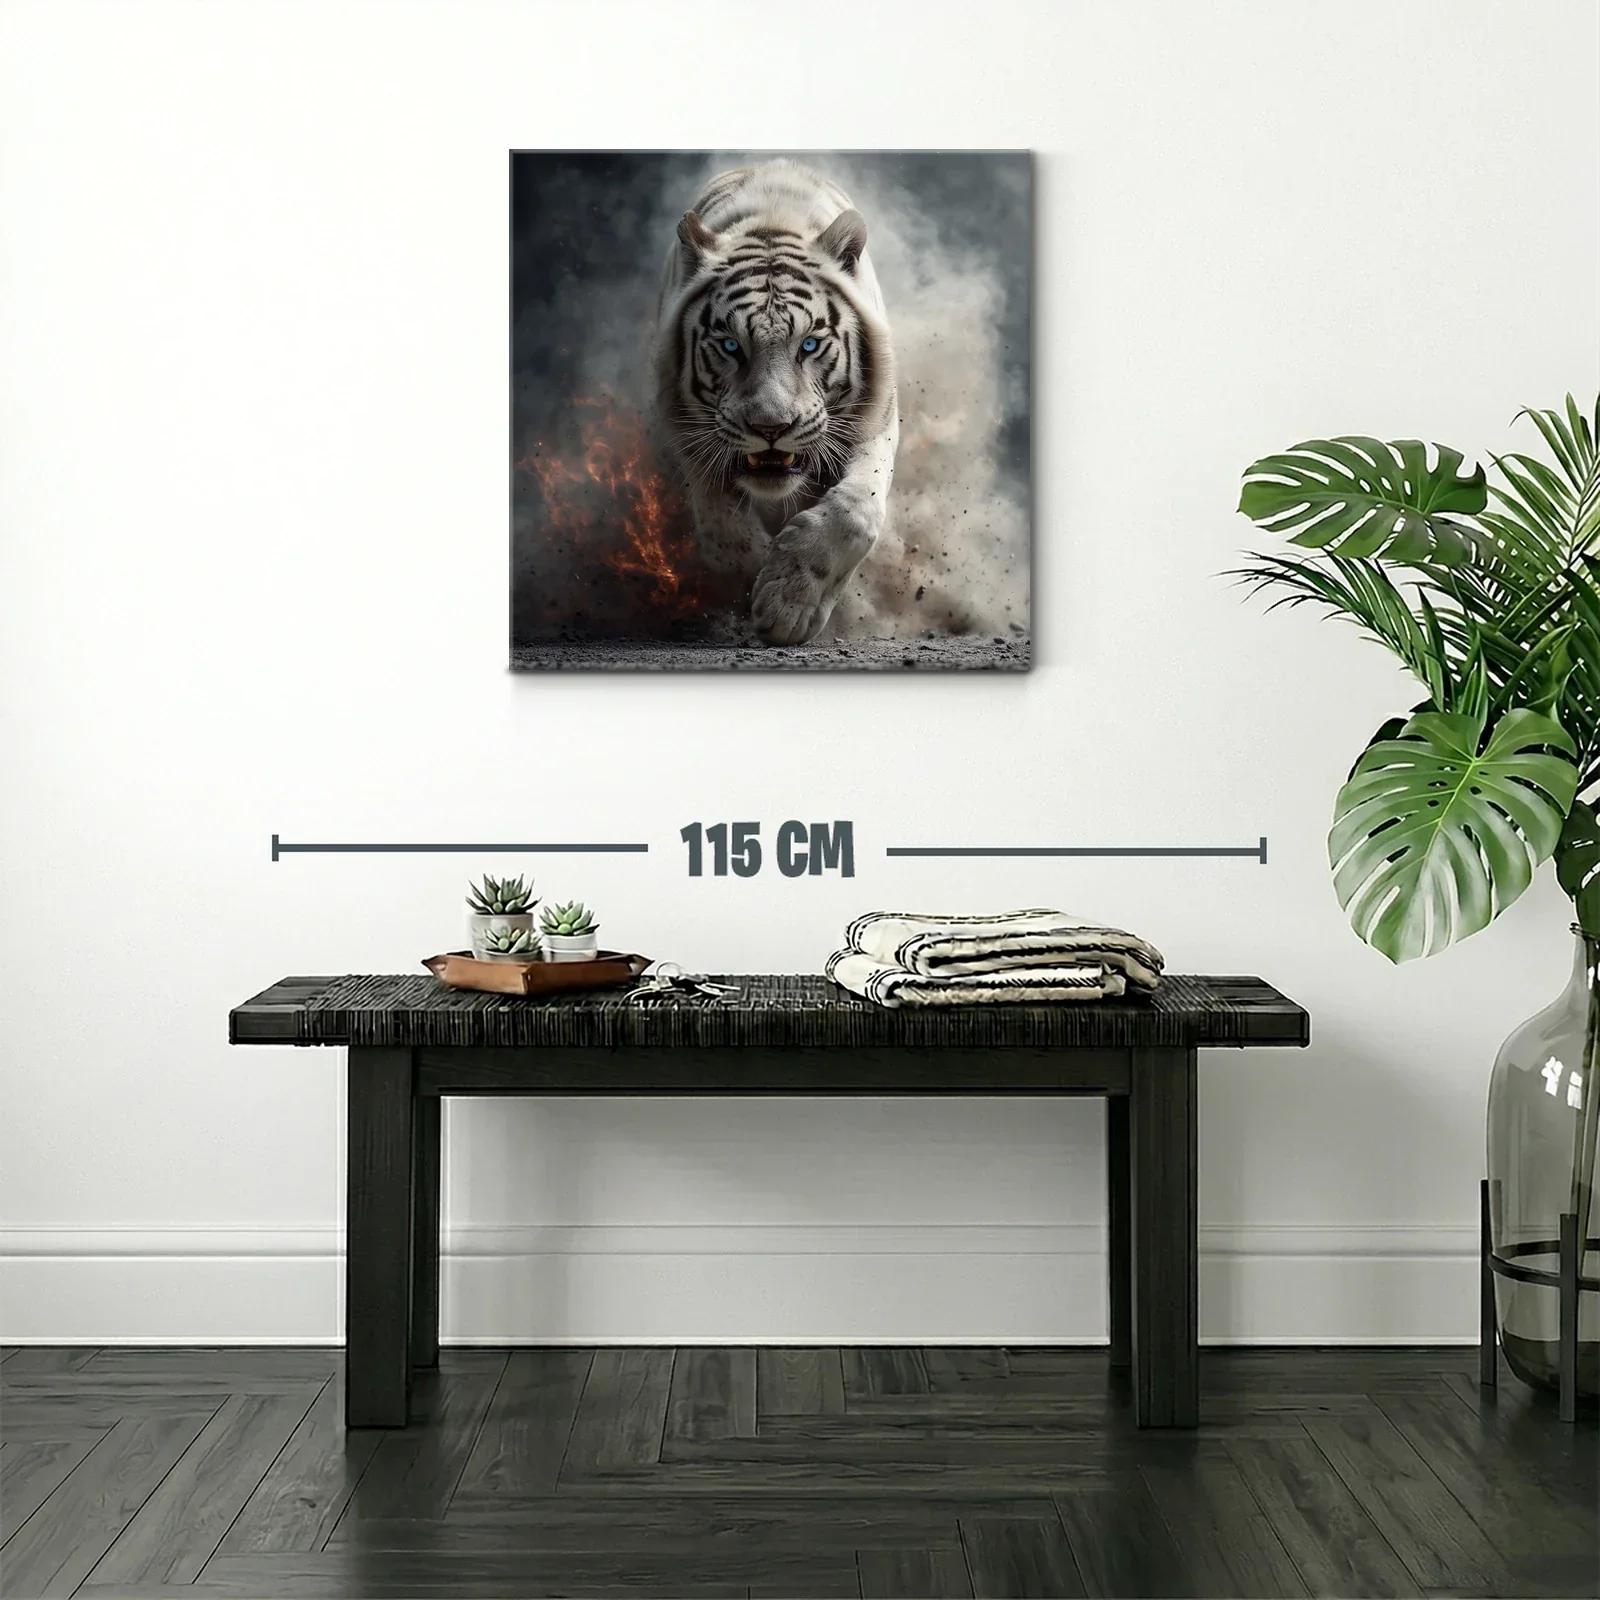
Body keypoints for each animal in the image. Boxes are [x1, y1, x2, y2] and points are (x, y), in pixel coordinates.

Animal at [653, 160, 899, 645]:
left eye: (809, 344)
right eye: (731, 346)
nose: (770, 428)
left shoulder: (878, 420)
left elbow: (857, 513)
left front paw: (789, 604)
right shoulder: (688, 435)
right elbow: (723, 534)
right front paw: (761, 587)